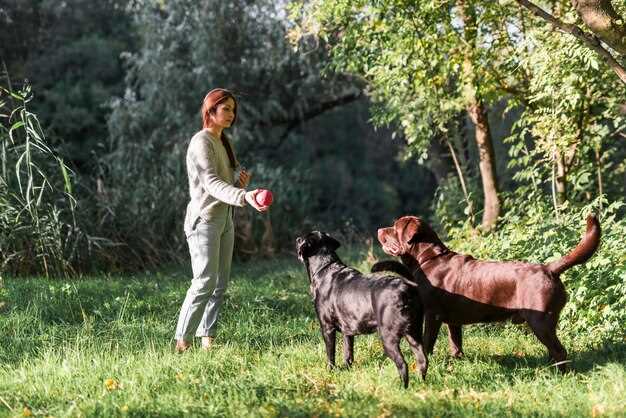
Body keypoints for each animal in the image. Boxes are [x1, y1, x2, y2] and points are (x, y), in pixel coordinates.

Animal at [294, 230, 426, 386]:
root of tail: (406, 288)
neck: (325, 268)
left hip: (388, 337)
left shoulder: (327, 328)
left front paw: (330, 371)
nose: (297, 238)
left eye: (301, 239)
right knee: (422, 360)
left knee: (402, 364)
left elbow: (330, 354)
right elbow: (348, 353)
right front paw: (347, 368)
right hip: (414, 334)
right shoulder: (347, 331)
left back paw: (402, 387)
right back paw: (421, 383)